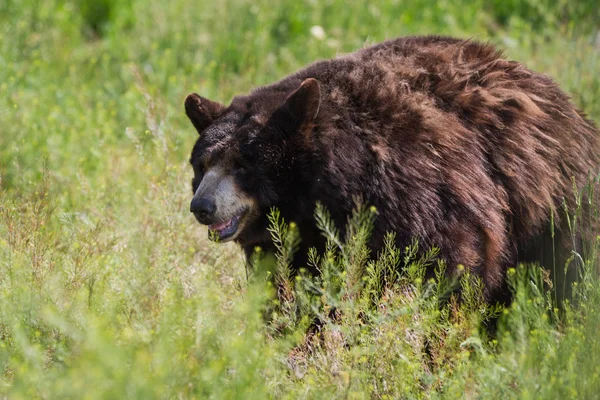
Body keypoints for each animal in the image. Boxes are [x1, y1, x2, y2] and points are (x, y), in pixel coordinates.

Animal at [185, 35, 596, 304]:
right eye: (201, 165)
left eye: (243, 164)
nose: (202, 206)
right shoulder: (297, 238)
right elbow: (291, 281)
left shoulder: (422, 191)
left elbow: (446, 267)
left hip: (550, 201)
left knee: (566, 269)